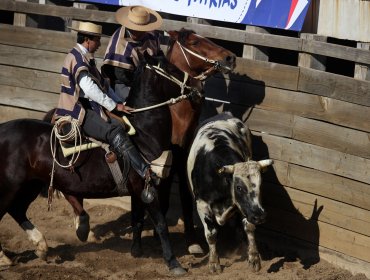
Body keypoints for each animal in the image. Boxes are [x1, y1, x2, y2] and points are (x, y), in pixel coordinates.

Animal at [186, 112, 274, 272]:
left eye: (260, 185)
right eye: (238, 187)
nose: (260, 216)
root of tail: (224, 113)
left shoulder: (245, 207)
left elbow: (249, 226)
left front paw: (253, 257)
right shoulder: (202, 204)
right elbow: (211, 234)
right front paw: (214, 263)